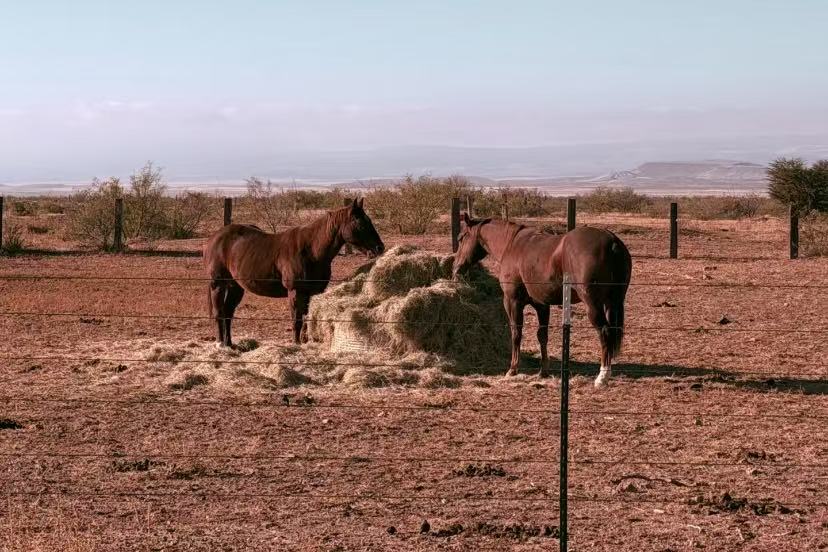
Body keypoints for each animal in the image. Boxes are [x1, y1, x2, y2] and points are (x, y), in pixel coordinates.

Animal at [203, 198, 384, 347]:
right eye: (360, 223)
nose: (379, 248)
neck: (311, 250)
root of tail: (215, 238)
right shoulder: (295, 291)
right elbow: (296, 320)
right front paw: (296, 344)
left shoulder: (311, 293)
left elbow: (306, 320)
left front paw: (304, 341)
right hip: (218, 285)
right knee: (219, 313)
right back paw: (221, 344)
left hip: (236, 287)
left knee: (228, 314)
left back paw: (230, 344)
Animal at [452, 214, 632, 387]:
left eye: (461, 238)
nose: (455, 268)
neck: (512, 245)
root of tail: (612, 241)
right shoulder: (542, 305)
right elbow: (542, 336)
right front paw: (543, 370)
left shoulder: (512, 302)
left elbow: (516, 333)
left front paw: (512, 369)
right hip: (612, 303)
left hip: (593, 306)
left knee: (605, 333)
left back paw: (602, 377)